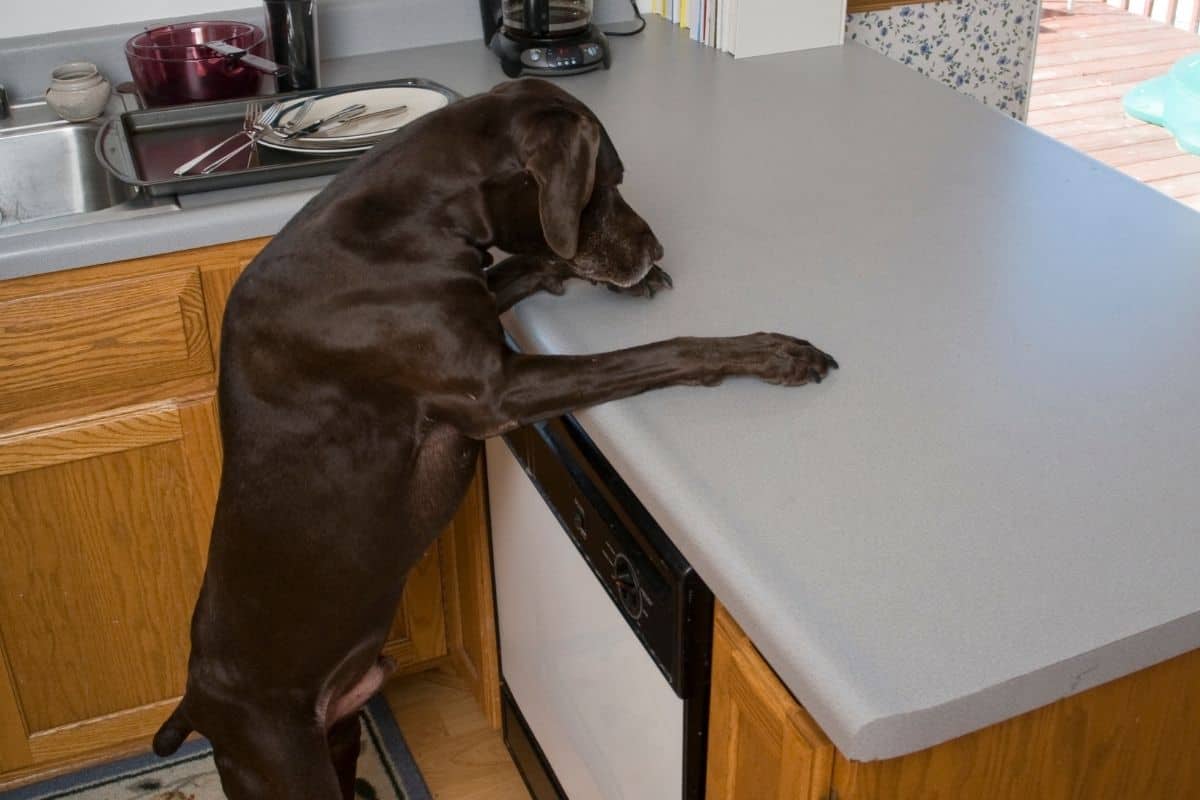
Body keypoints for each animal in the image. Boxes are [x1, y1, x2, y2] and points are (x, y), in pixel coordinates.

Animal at [154, 76, 840, 800]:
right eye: (611, 181)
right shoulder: (499, 393)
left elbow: (533, 260)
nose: (655, 250)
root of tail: (194, 703)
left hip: (339, 731)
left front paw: (595, 274)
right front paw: (771, 353)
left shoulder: (483, 301)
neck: (409, 220)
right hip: (283, 761)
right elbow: (663, 352)